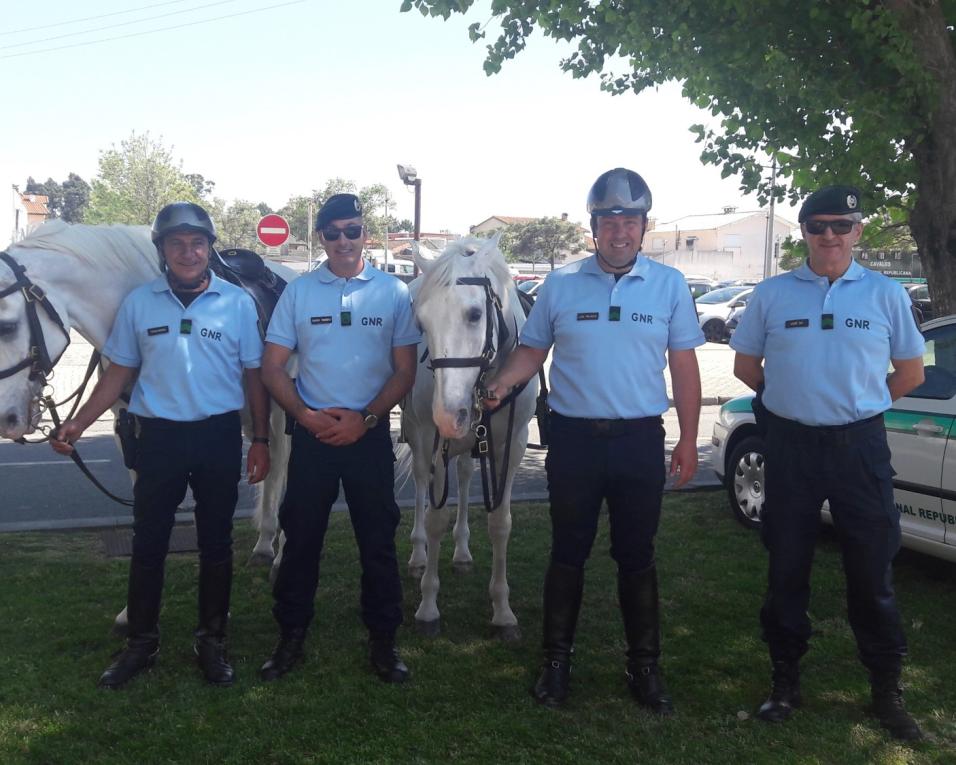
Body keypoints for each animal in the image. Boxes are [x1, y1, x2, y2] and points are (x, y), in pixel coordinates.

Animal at [400, 234, 536, 640]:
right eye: (421, 322)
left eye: (475, 314)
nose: (449, 414)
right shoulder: (433, 440)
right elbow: (435, 519)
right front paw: (428, 606)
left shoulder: (512, 445)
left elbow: (500, 523)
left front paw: (503, 610)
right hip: (421, 436)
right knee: (420, 486)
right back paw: (418, 555)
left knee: (462, 476)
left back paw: (461, 552)